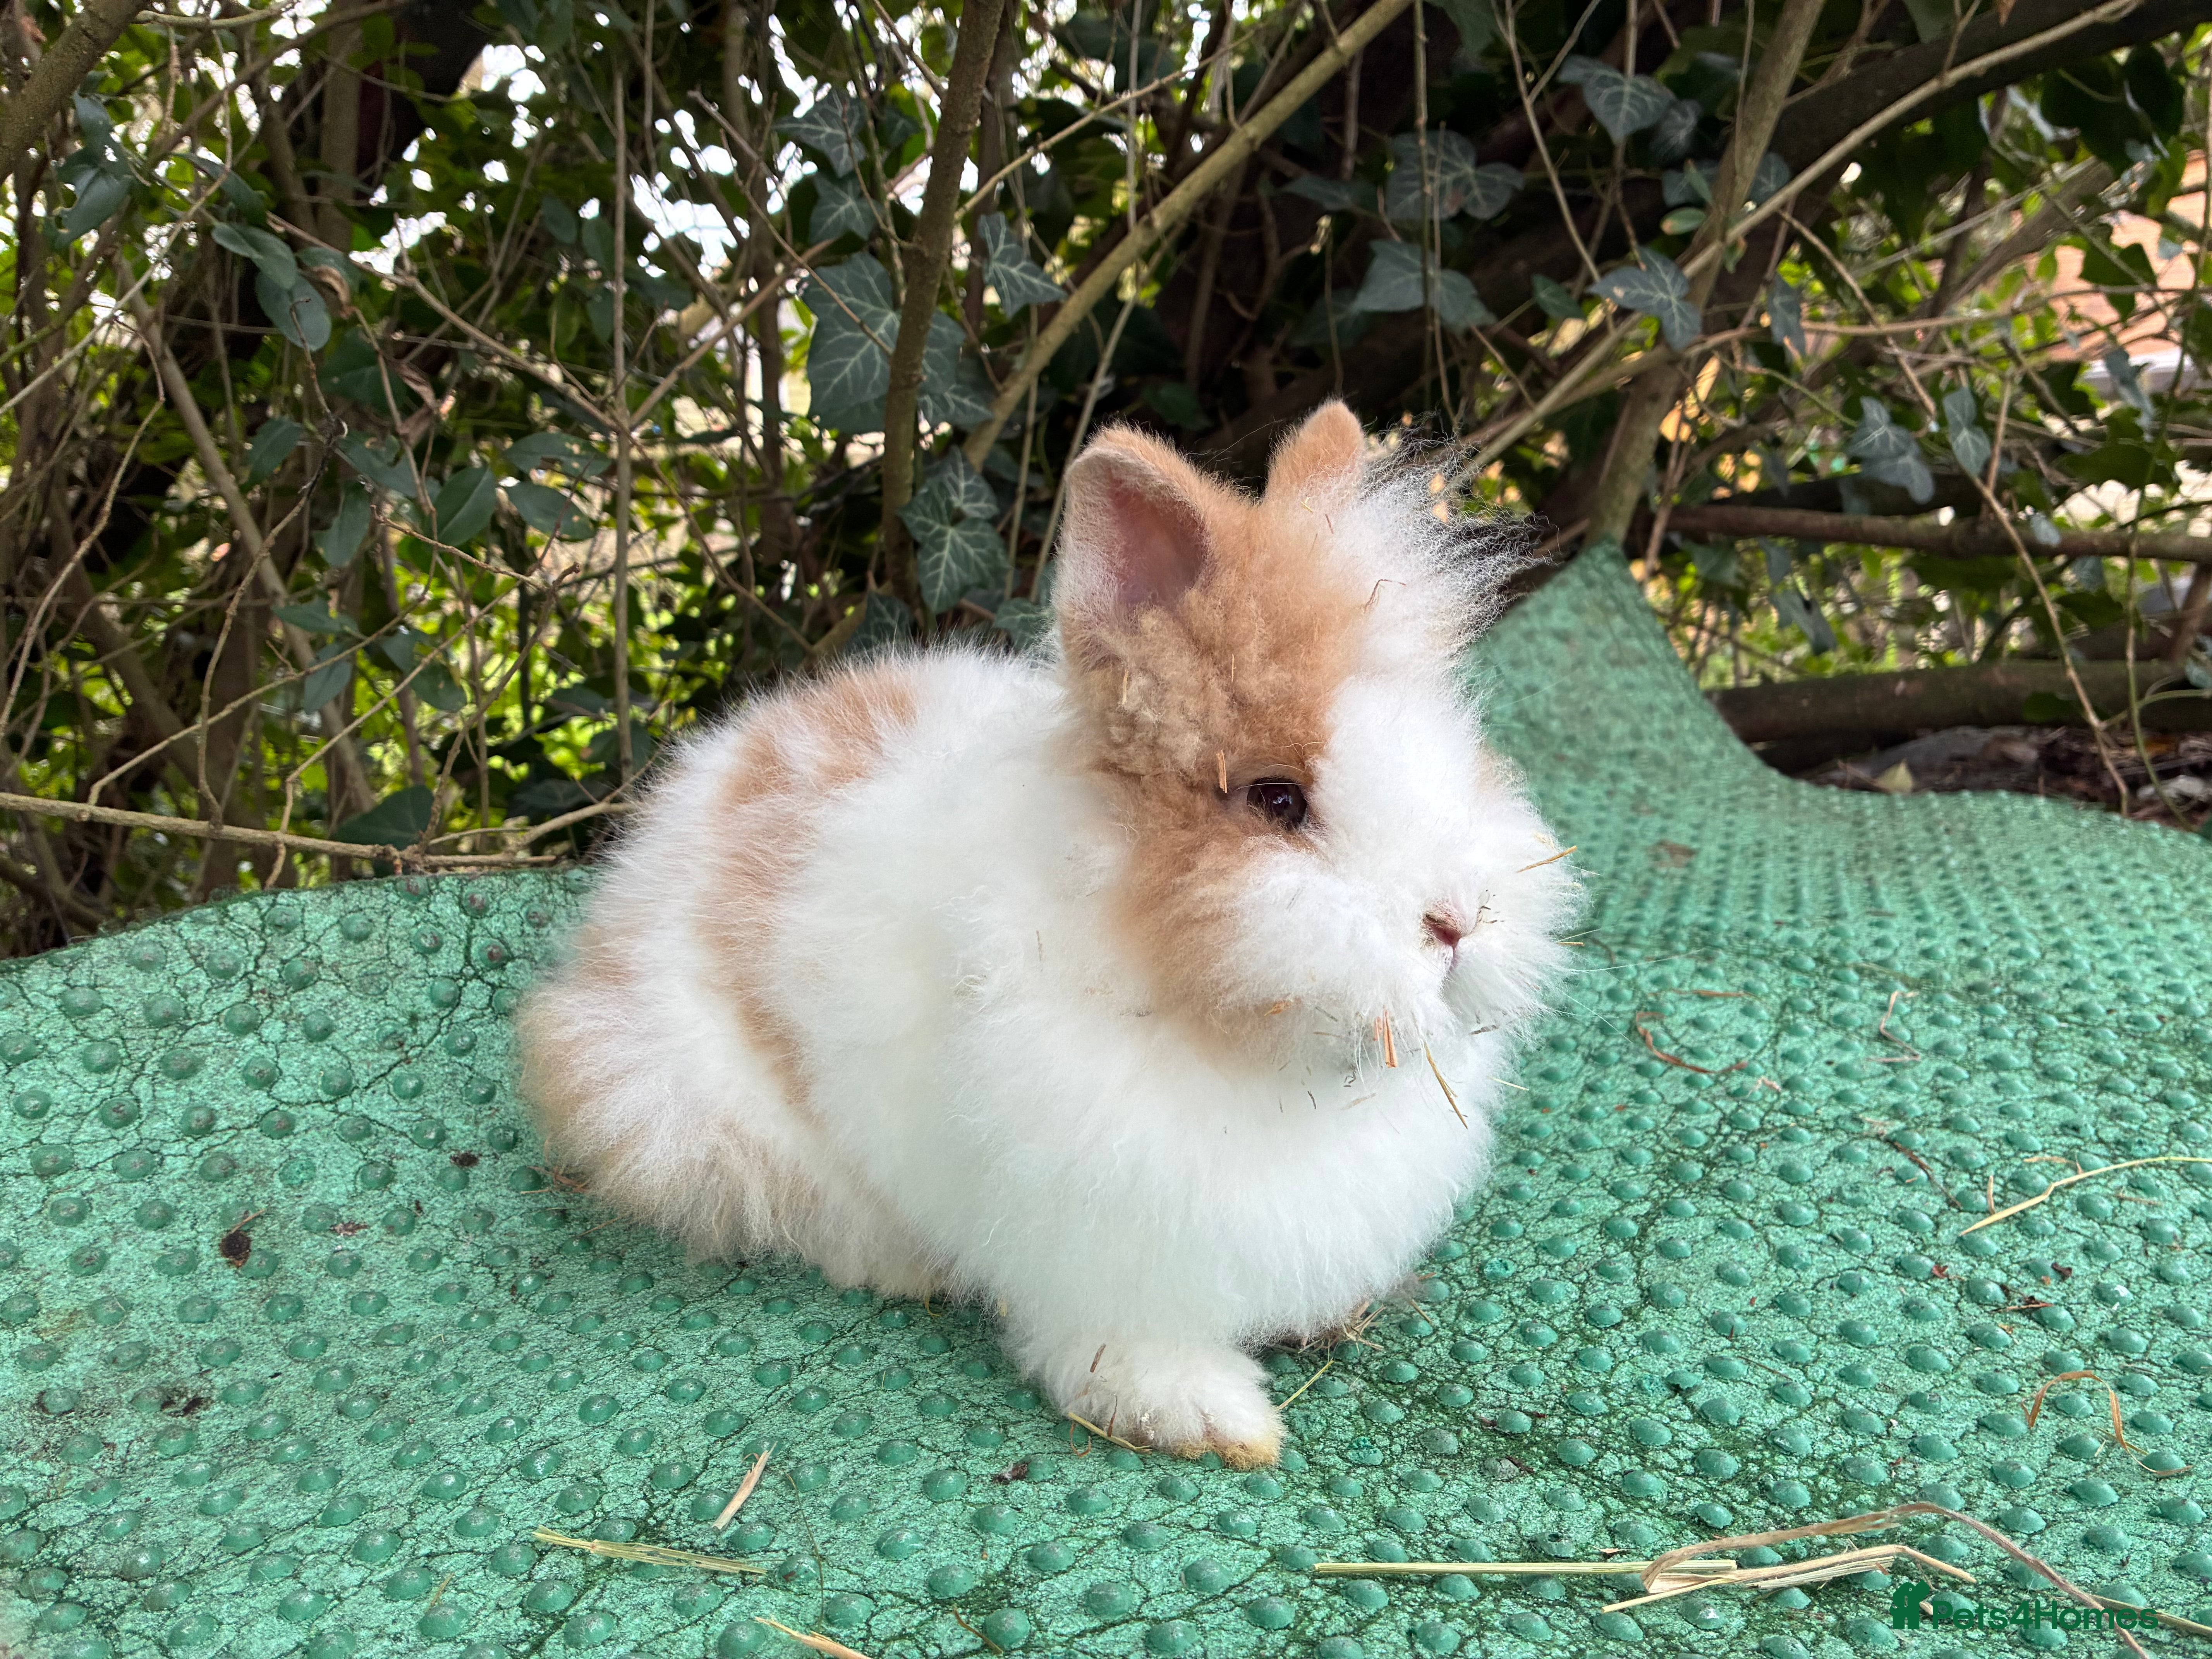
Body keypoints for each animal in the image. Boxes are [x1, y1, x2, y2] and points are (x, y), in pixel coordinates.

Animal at [517, 400, 1578, 1468]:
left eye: (1455, 753)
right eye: (1279, 800)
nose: (1458, 921)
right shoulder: (1107, 1245)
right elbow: (1126, 1351)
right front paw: (1217, 1423)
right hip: (685, 1108)